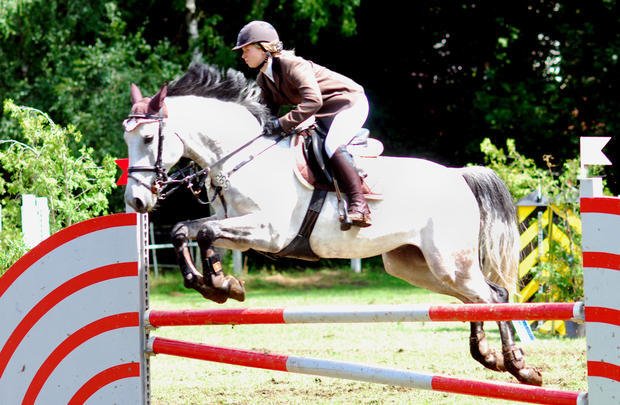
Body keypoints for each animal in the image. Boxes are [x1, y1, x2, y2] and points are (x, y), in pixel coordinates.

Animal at [123, 61, 540, 384]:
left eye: (148, 138)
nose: (136, 201)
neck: (241, 157)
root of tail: (459, 176)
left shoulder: (268, 232)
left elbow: (205, 232)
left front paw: (223, 284)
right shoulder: (236, 226)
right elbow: (187, 231)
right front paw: (215, 284)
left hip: (450, 262)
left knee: (494, 296)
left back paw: (520, 368)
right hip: (416, 265)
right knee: (476, 299)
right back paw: (490, 356)